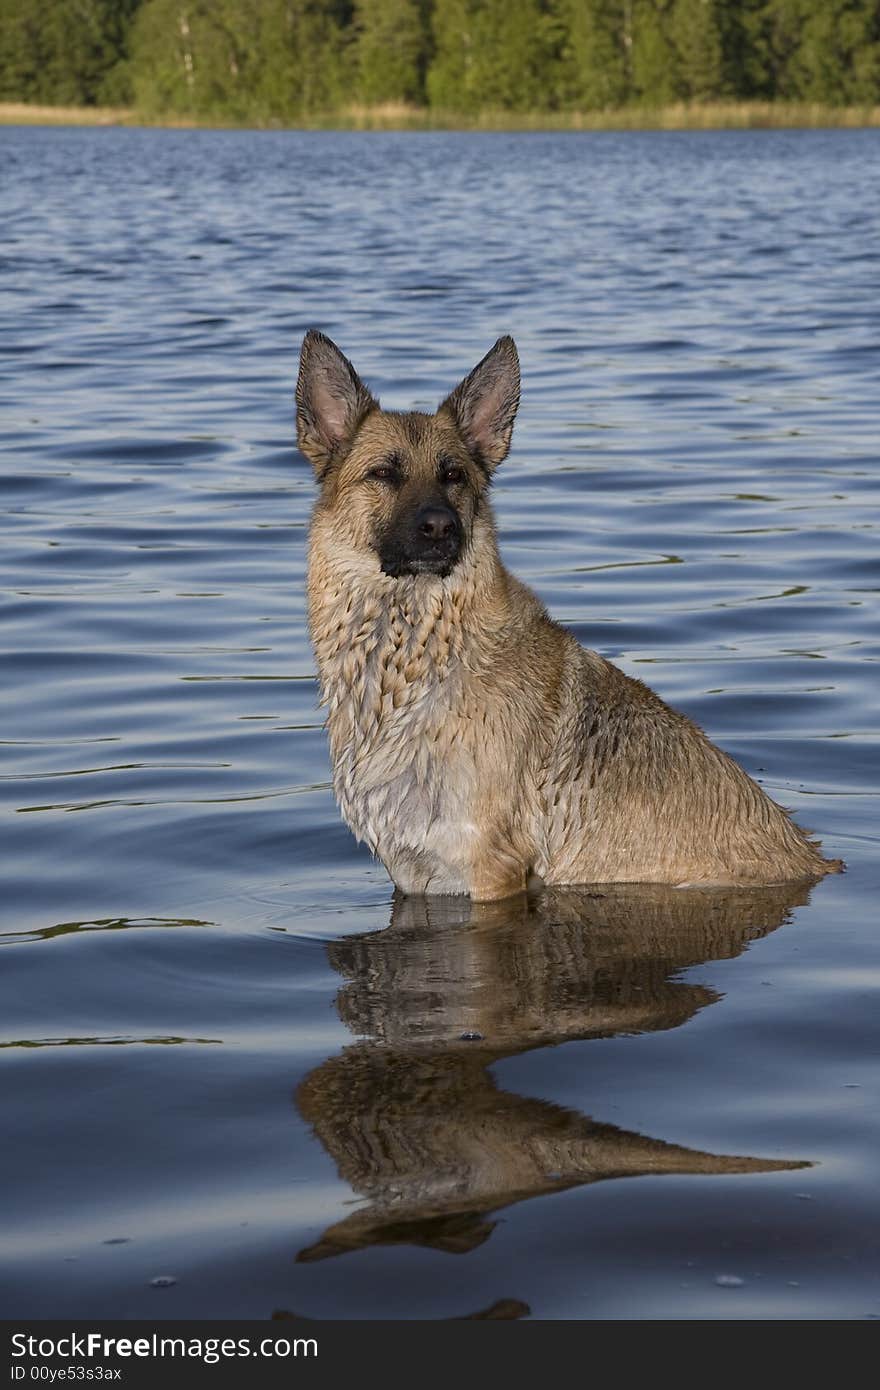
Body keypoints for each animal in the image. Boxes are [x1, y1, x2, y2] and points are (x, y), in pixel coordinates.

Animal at [298, 333, 839, 900]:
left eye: (454, 476)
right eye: (383, 473)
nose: (441, 528)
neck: (416, 656)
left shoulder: (490, 871)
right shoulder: (415, 873)